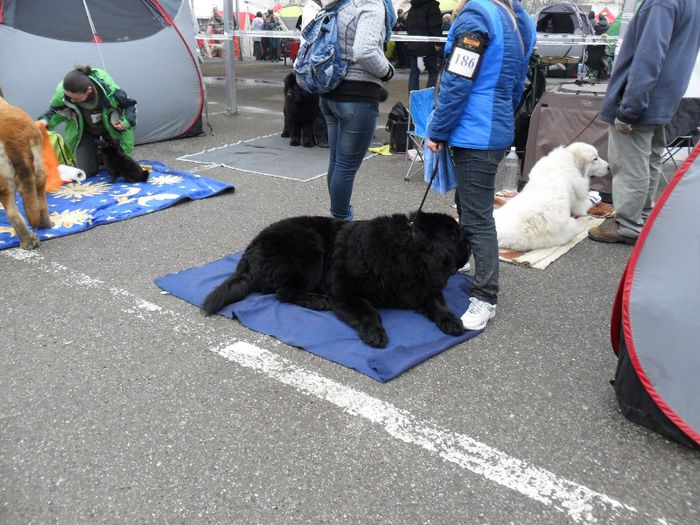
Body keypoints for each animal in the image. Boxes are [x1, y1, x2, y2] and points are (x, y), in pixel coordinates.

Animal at [0, 91, 53, 249]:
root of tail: (11, 138)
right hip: (39, 170)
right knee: (40, 203)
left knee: (12, 213)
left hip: (4, 184)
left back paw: (27, 241)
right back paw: (46, 225)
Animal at [201, 211, 464, 350]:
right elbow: (368, 311)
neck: (409, 251)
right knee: (285, 292)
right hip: (309, 249)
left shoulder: (424, 288)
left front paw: (451, 321)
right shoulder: (345, 290)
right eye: (459, 237)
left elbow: (438, 303)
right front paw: (375, 333)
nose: (469, 245)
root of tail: (250, 250)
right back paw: (318, 301)